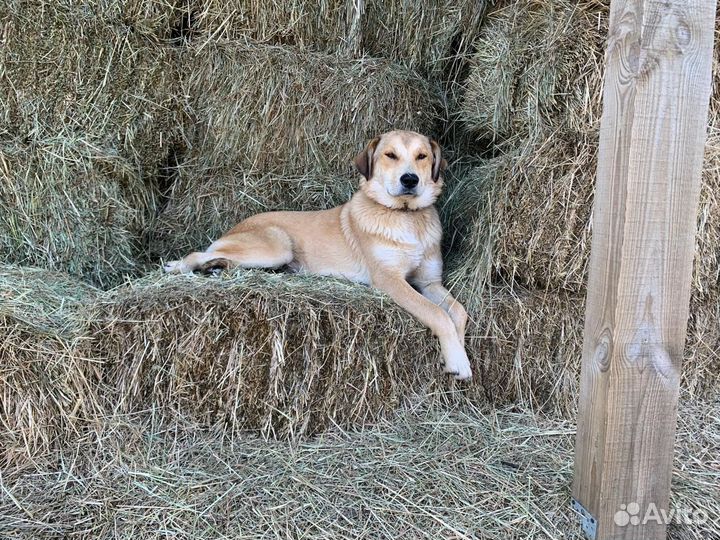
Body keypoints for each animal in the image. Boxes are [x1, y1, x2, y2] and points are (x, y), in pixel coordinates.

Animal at [163, 131, 472, 380]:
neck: (406, 217)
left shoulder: (430, 282)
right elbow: (437, 314)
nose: (410, 179)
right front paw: (458, 361)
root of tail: (237, 225)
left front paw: (459, 349)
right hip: (277, 245)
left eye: (422, 156)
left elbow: (458, 311)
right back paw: (178, 266)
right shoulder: (391, 281)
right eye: (390, 155)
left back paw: (216, 268)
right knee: (199, 252)